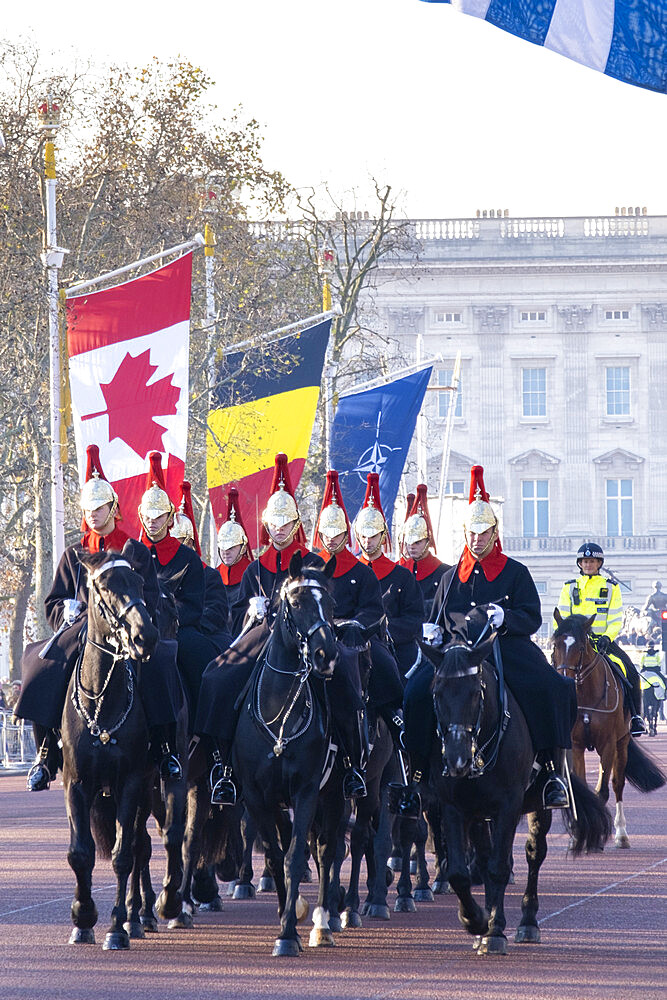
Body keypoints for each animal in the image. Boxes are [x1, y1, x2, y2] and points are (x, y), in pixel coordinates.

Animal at [234, 552, 340, 956]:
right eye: (295, 602)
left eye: (332, 603)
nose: (327, 656)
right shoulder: (256, 796)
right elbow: (275, 854)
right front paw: (285, 918)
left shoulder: (307, 790)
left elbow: (295, 856)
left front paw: (290, 932)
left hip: (336, 794)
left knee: (329, 850)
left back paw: (326, 921)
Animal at [426, 636, 612, 956]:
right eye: (437, 692)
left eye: (475, 693)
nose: (457, 760)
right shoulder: (454, 807)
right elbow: (460, 873)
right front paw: (475, 920)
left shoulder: (508, 806)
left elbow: (500, 867)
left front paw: (495, 930)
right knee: (484, 859)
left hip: (538, 805)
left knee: (533, 854)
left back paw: (527, 922)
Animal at [552, 608, 664, 852]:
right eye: (555, 645)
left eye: (581, 647)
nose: (564, 679)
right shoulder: (577, 745)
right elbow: (584, 787)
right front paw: (578, 835)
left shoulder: (608, 744)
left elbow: (603, 790)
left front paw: (595, 837)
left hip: (621, 744)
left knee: (617, 784)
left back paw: (621, 834)